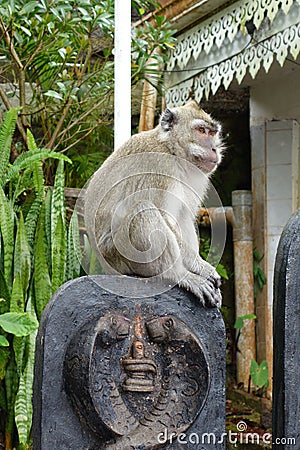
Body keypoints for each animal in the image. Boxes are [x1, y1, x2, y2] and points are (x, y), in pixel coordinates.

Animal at [83, 100, 224, 308]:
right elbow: (164, 216)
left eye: (213, 133)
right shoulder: (160, 168)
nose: (214, 149)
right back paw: (179, 275)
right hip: (119, 255)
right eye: (201, 130)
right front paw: (202, 268)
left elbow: (182, 218)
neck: (170, 149)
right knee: (143, 210)